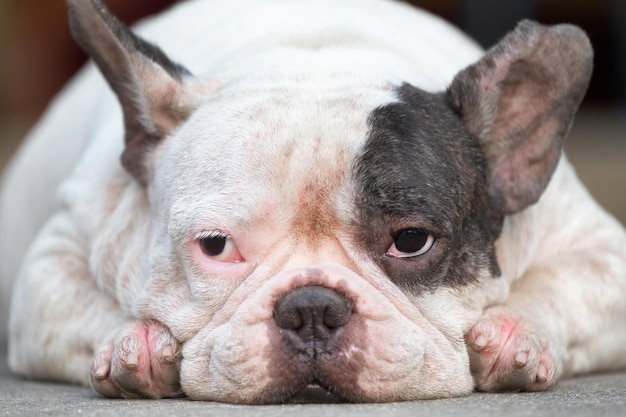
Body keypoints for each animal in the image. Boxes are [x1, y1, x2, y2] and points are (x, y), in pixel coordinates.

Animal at [1, 0, 624, 404]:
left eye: (411, 241)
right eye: (215, 247)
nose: (312, 308)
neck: (316, 57)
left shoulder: (601, 256)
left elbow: (559, 289)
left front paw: (517, 333)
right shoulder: (50, 272)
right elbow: (85, 303)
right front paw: (136, 342)